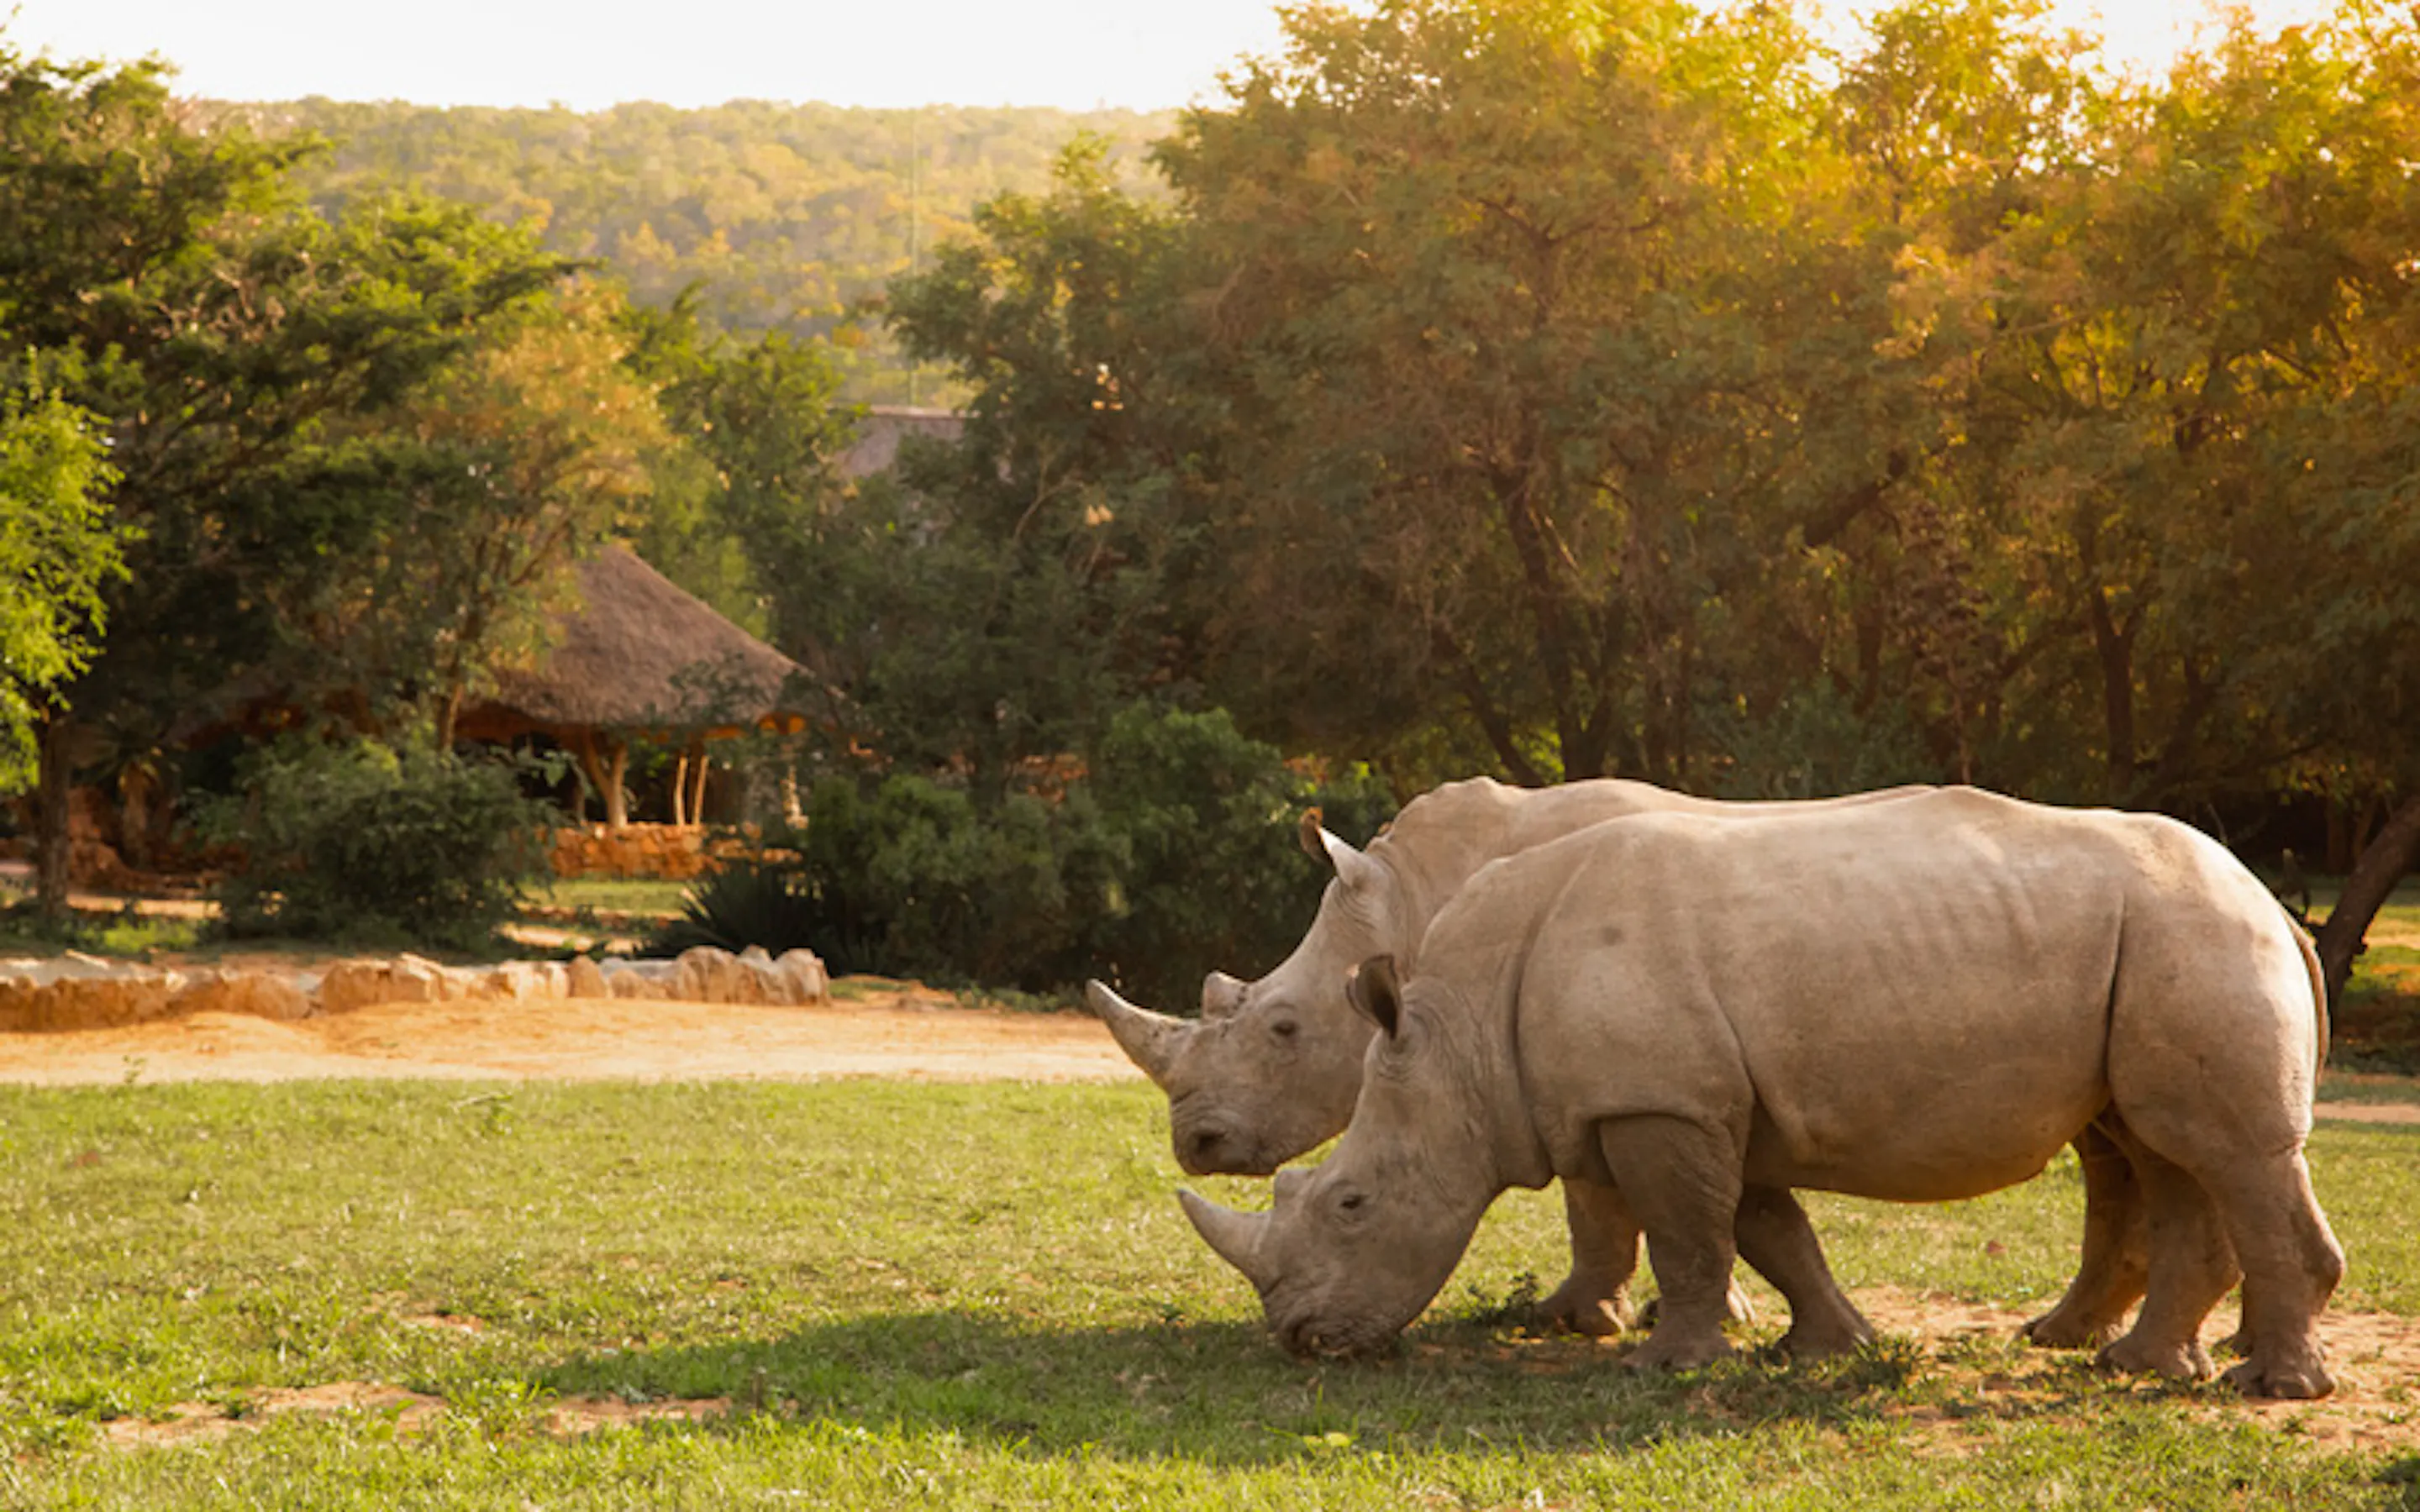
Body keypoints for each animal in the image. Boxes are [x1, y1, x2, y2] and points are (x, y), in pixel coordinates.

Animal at [1179, 789, 2342, 1399]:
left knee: (2219, 1153)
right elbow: (1764, 1228)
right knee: (2166, 1151)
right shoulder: (1697, 1099)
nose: (1300, 1340)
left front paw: (1666, 1362)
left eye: (1350, 1204)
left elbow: (1688, 1233)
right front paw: (1825, 1347)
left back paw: (2263, 1388)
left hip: (2192, 934)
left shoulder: (1656, 1101)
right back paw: (2135, 1365)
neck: (1455, 1029)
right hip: (2160, 945)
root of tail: (2273, 903)